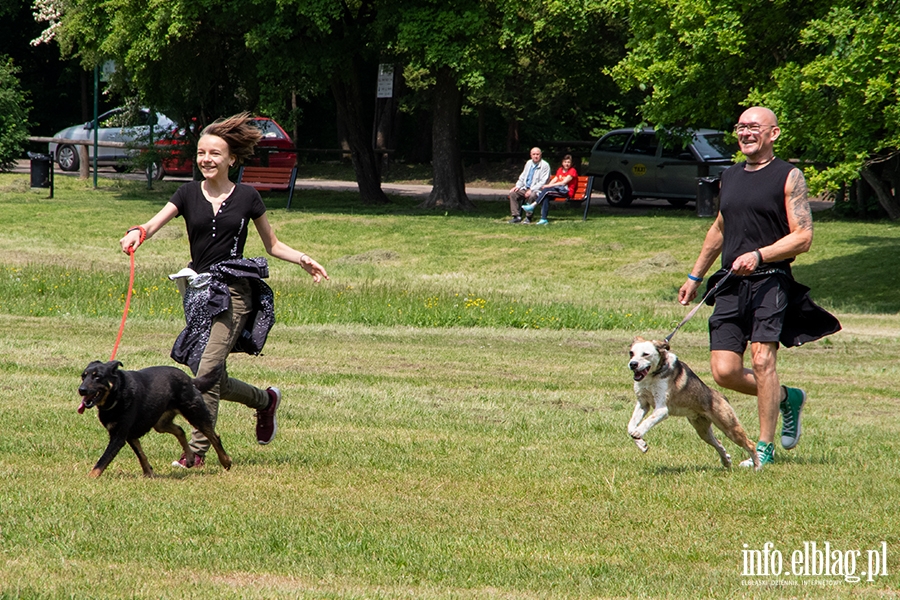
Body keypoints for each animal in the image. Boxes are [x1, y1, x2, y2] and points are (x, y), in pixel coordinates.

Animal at [78, 360, 232, 478]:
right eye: (83, 376)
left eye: (97, 377)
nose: (81, 390)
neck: (117, 393)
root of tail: (189, 379)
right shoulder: (129, 434)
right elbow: (141, 455)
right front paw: (149, 473)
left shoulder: (119, 436)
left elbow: (103, 460)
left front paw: (90, 477)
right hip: (161, 424)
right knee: (180, 430)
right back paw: (189, 458)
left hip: (195, 414)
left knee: (214, 437)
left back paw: (226, 461)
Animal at [624, 338, 760, 468]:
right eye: (631, 353)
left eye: (646, 354)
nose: (633, 364)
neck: (653, 375)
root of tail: (721, 396)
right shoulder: (643, 403)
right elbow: (630, 425)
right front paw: (641, 444)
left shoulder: (662, 409)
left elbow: (647, 421)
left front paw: (638, 432)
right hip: (702, 429)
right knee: (718, 443)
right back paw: (726, 460)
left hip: (729, 426)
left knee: (750, 444)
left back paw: (757, 467)